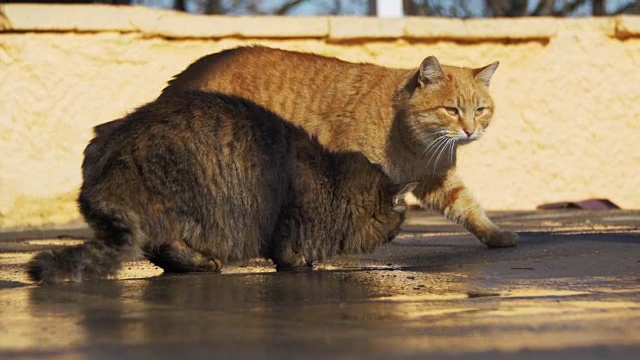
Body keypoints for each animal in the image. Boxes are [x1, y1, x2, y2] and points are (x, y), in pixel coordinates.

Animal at [27, 91, 416, 282]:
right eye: (399, 221)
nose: (397, 234)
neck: (331, 182)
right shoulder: (290, 214)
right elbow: (287, 249)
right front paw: (300, 263)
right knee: (164, 242)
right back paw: (199, 263)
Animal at [90, 45, 516, 248]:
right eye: (451, 110)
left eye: (480, 110)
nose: (470, 131)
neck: (416, 143)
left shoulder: (436, 180)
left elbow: (468, 208)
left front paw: (495, 235)